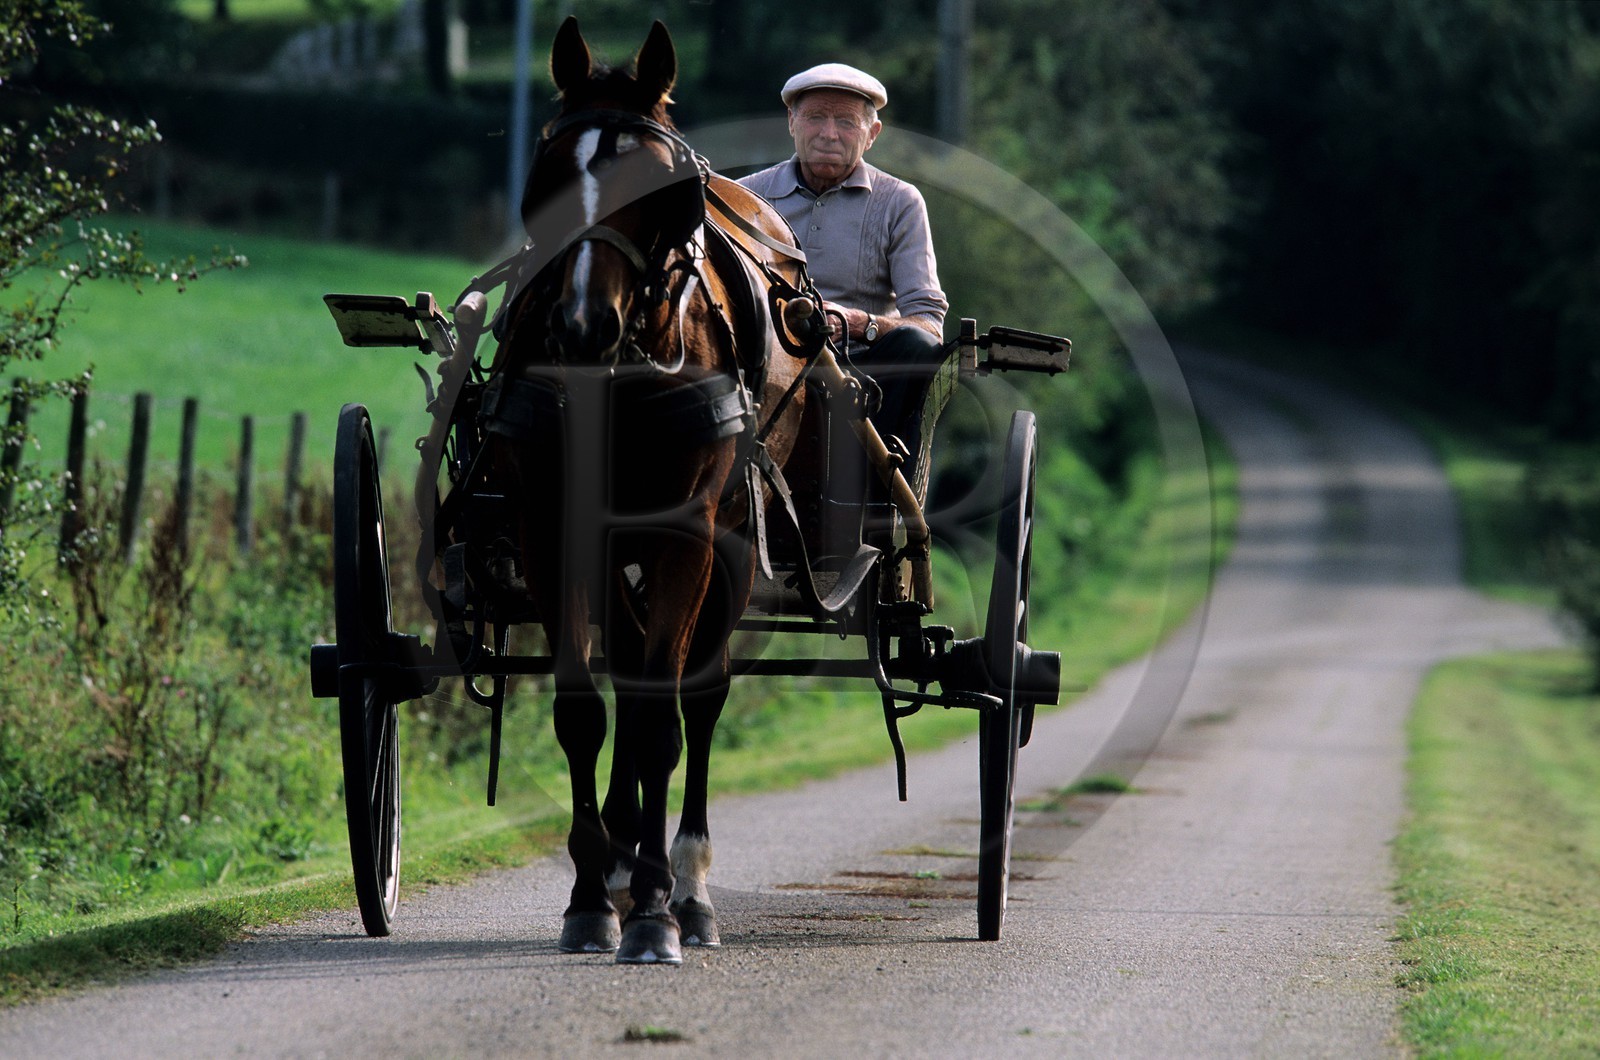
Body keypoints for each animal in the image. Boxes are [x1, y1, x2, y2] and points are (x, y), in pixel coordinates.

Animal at [485, 17, 814, 965]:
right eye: (547, 182)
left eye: (660, 193)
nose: (580, 326)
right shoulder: (557, 531)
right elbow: (585, 714)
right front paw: (594, 896)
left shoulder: (683, 535)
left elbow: (662, 721)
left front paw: (657, 914)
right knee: (633, 677)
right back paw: (630, 863)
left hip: (731, 544)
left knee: (695, 698)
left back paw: (687, 889)